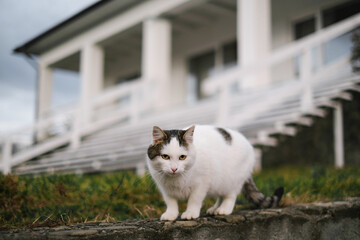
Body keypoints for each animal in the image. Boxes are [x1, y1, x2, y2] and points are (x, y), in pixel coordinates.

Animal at [146, 124, 284, 220]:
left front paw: (190, 212)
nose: (174, 169)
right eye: (165, 157)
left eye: (182, 157)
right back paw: (214, 208)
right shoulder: (164, 188)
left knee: (230, 195)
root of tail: (248, 142)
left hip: (233, 179)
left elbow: (194, 199)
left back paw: (224, 209)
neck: (177, 179)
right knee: (221, 195)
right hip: (220, 183)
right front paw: (171, 214)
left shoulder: (202, 183)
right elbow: (171, 202)